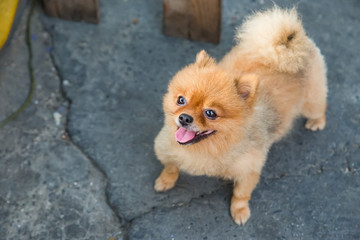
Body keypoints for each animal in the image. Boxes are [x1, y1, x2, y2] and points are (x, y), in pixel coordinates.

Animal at [153, 7, 328, 225]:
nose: (184, 118)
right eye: (181, 100)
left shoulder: (248, 170)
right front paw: (165, 181)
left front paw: (240, 211)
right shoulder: (165, 148)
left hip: (311, 101)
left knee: (320, 107)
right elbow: (170, 167)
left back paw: (317, 122)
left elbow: (241, 194)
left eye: (210, 113)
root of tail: (289, 43)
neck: (208, 148)